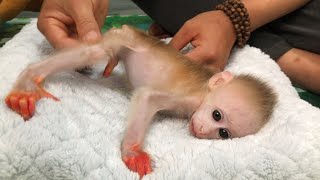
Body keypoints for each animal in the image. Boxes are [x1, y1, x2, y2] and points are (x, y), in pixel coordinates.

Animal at [3, 25, 276, 177]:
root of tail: (133, 30)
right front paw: (133, 151)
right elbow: (147, 96)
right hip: (123, 39)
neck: (205, 92)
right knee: (94, 52)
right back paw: (28, 81)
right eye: (216, 114)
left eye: (223, 133)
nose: (202, 129)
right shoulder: (191, 99)